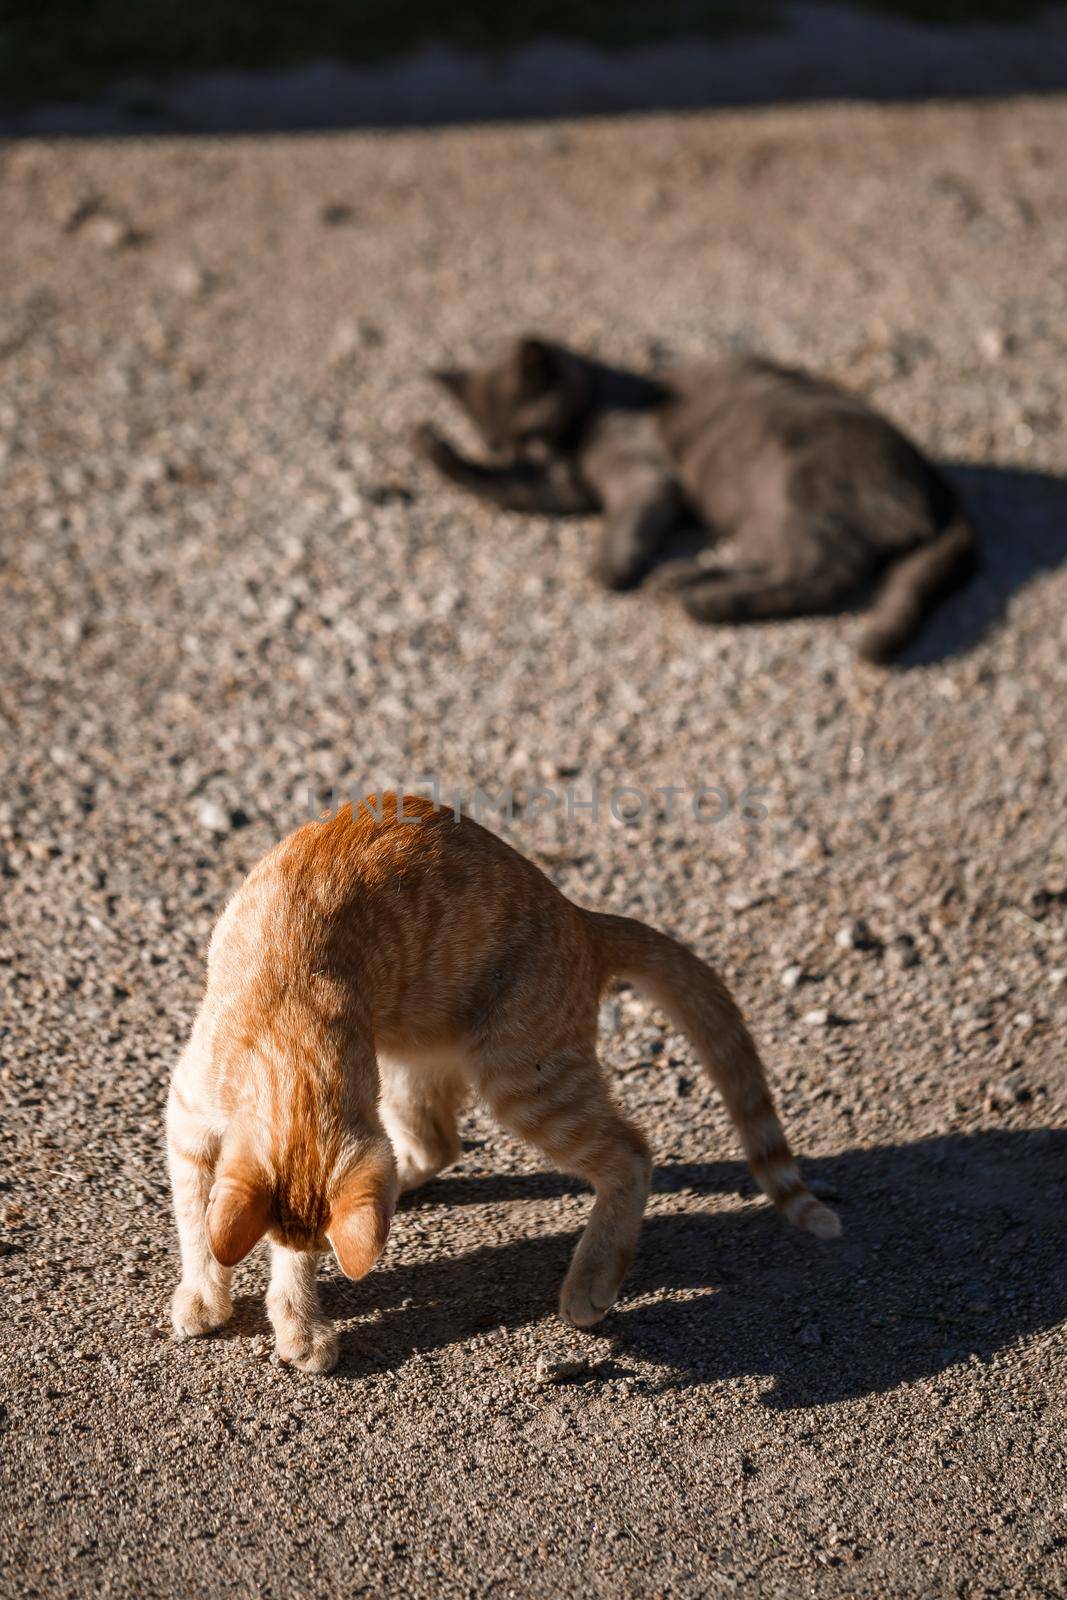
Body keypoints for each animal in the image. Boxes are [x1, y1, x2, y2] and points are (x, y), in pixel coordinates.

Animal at [167, 793, 838, 1369]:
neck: (291, 1029)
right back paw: (398, 1189)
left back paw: (591, 1282)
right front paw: (212, 1295)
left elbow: (242, 1233)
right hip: (412, 1057)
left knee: (631, 1153)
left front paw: (294, 1319)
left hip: (523, 1079)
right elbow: (202, 1222)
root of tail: (580, 918)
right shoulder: (189, 1121)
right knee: (436, 1144)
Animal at [412, 334, 979, 665]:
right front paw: (433, 447)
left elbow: (627, 520)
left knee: (819, 576)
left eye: (531, 431)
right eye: (496, 443)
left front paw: (610, 567)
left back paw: (704, 601)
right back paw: (684, 580)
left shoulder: (643, 478)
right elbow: (507, 488)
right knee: (775, 564)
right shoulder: (561, 488)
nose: (531, 456)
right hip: (763, 515)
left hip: (791, 488)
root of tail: (938, 484)